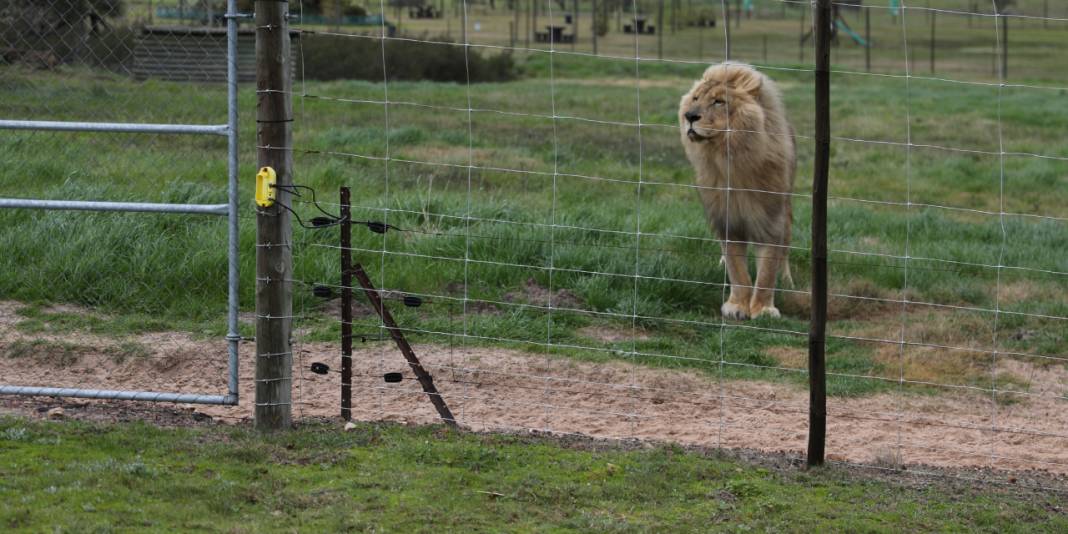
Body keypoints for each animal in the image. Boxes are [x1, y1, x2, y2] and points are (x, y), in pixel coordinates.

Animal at [679, 63, 798, 320]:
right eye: (695, 99)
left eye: (719, 102)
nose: (689, 116)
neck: (729, 159)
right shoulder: (728, 220)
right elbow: (738, 270)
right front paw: (737, 306)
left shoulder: (770, 221)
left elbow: (767, 271)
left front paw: (763, 310)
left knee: (785, 250)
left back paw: (787, 281)